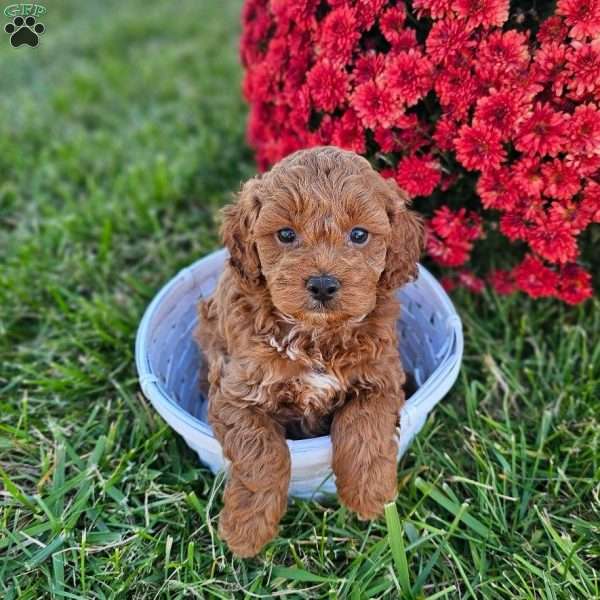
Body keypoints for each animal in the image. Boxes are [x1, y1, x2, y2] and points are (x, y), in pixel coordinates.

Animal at [196, 145, 422, 556]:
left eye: (359, 234)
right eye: (286, 234)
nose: (322, 284)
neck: (315, 335)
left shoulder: (381, 378)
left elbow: (363, 426)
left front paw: (369, 497)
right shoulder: (234, 394)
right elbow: (262, 453)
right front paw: (247, 530)